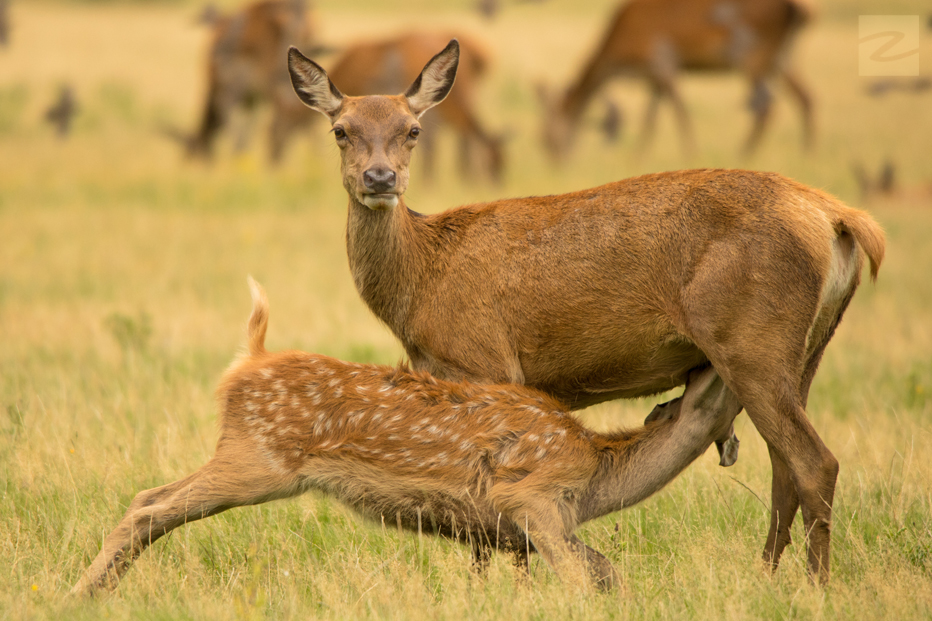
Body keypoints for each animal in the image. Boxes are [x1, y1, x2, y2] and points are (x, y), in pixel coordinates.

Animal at [71, 278, 744, 592]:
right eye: (708, 376)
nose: (721, 357)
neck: (601, 471)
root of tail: (247, 362)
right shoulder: (531, 496)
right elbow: (584, 578)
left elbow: (606, 573)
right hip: (258, 458)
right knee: (148, 507)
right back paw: (77, 595)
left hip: (243, 454)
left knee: (147, 499)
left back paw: (93, 592)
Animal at [288, 41, 884, 584]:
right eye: (340, 130)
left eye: (413, 129)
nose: (380, 178)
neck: (421, 282)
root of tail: (840, 218)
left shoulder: (487, 360)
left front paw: (506, 588)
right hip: (806, 346)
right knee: (785, 466)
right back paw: (767, 576)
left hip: (750, 338)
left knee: (813, 461)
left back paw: (815, 585)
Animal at [540, 0, 816, 157]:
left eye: (545, 138)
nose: (555, 164)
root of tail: (800, 10)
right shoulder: (654, 77)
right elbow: (651, 120)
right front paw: (637, 157)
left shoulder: (662, 63)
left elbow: (678, 113)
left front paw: (690, 154)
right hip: (782, 58)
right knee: (805, 98)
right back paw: (805, 154)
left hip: (751, 56)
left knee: (765, 107)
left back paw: (742, 155)